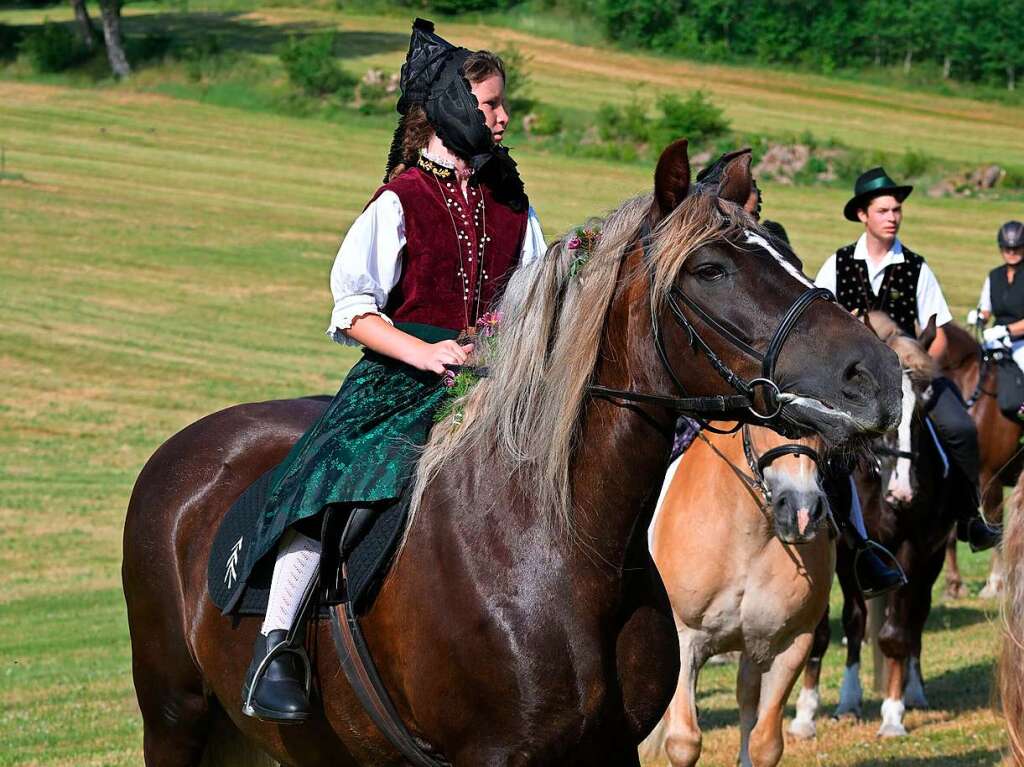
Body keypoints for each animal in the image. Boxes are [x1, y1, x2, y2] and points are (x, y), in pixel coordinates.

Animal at [790, 313, 950, 737]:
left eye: (922, 412)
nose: (903, 492)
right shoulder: (843, 551)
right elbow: (832, 629)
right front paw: (806, 714)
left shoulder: (910, 550)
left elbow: (895, 635)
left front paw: (893, 716)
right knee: (860, 621)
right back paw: (849, 700)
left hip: (933, 559)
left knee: (916, 618)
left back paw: (913, 690)